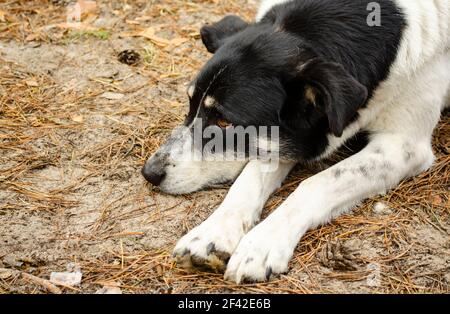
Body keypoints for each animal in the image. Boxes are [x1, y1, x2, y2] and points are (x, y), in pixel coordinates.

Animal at [142, 0, 450, 284]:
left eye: (225, 123)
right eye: (189, 105)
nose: (149, 173)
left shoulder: (401, 146)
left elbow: (316, 183)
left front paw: (262, 243)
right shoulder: (278, 139)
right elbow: (247, 180)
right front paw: (213, 232)